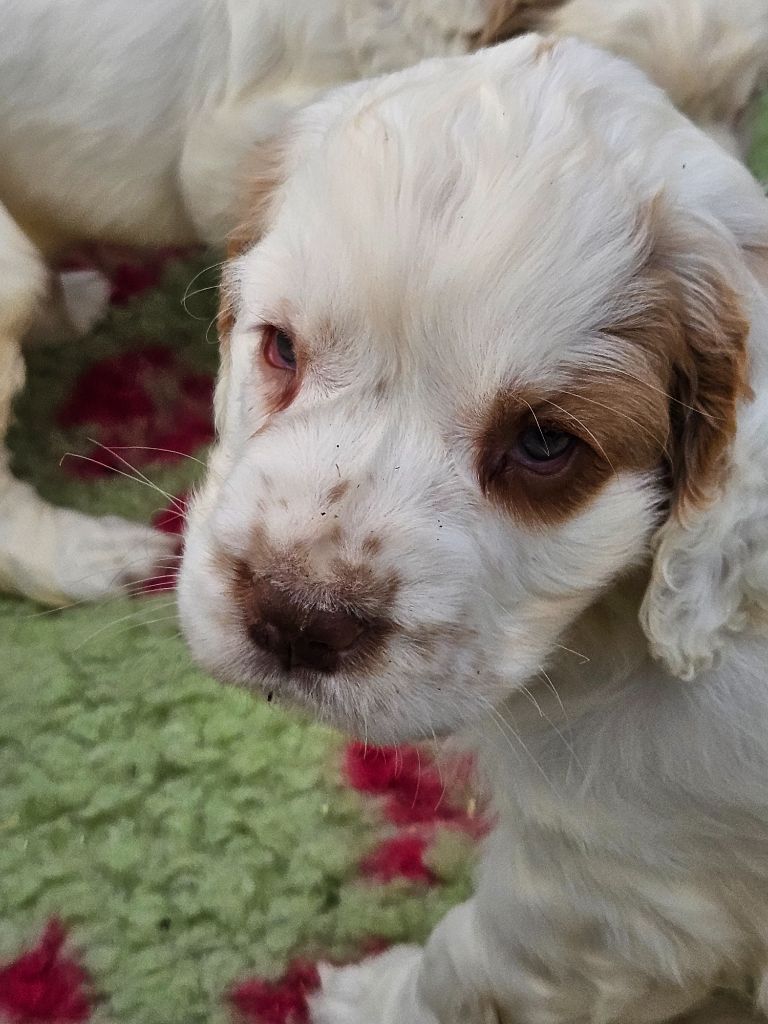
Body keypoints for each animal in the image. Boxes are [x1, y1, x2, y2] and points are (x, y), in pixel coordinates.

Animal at [178, 23, 768, 1024]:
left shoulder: (616, 882)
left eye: (544, 444)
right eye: (281, 348)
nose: (296, 617)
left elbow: (467, 959)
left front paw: (366, 994)